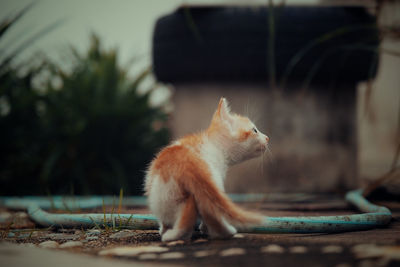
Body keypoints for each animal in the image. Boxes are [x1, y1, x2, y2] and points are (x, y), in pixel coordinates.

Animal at [144, 98, 268, 243]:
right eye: (255, 130)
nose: (267, 138)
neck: (213, 143)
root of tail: (186, 164)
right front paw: (206, 228)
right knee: (210, 214)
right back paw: (227, 233)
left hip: (162, 198)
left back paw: (168, 234)